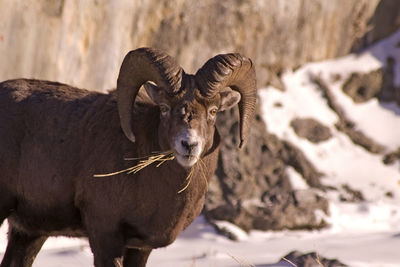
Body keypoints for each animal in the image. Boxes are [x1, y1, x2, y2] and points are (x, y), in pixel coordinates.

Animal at [0, 48, 256, 267]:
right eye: (164, 108)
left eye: (213, 111)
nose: (188, 144)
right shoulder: (105, 236)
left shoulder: (140, 248)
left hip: (30, 233)